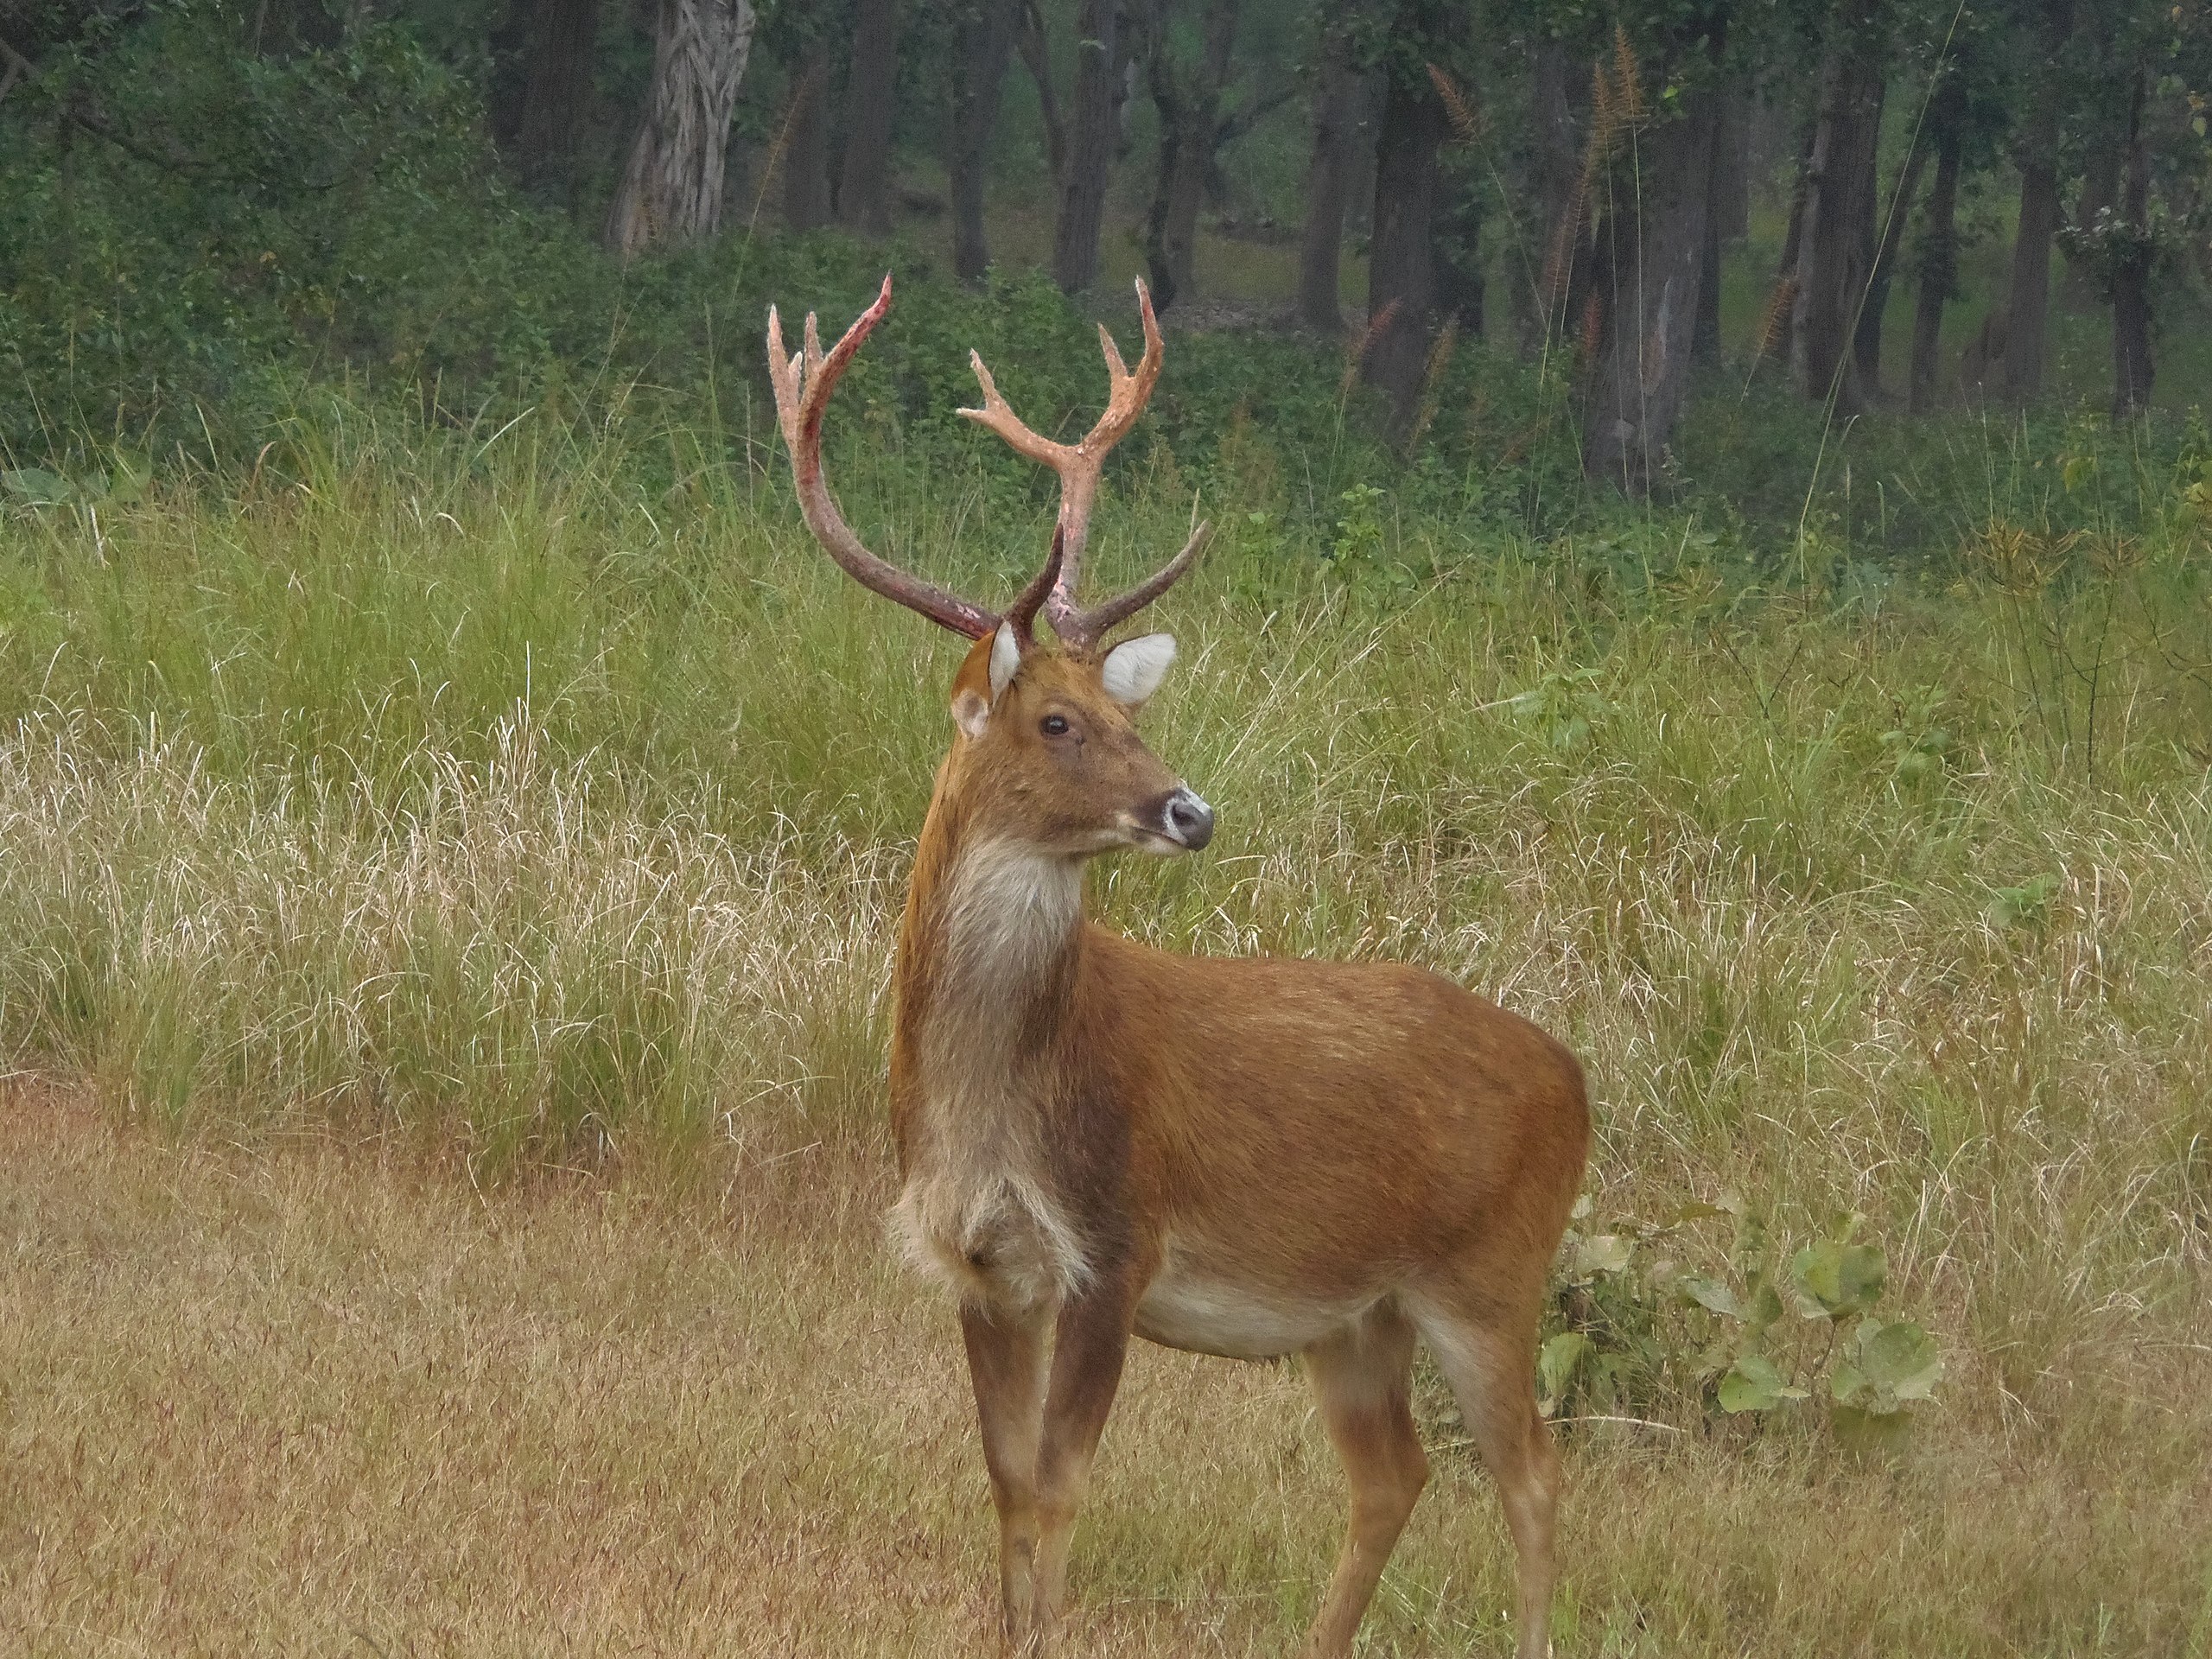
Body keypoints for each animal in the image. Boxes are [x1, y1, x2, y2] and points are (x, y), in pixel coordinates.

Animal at [765, 279, 1592, 1654]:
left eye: (1129, 718)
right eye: (1058, 722)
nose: (1189, 811)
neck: (996, 1099)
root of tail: (1576, 1081)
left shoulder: (1118, 1239)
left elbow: (1059, 1486)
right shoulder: (982, 1263)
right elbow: (1005, 1483)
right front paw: (1007, 1633)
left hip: (1492, 1273)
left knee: (1531, 1473)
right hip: (1356, 1313)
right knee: (1395, 1474)